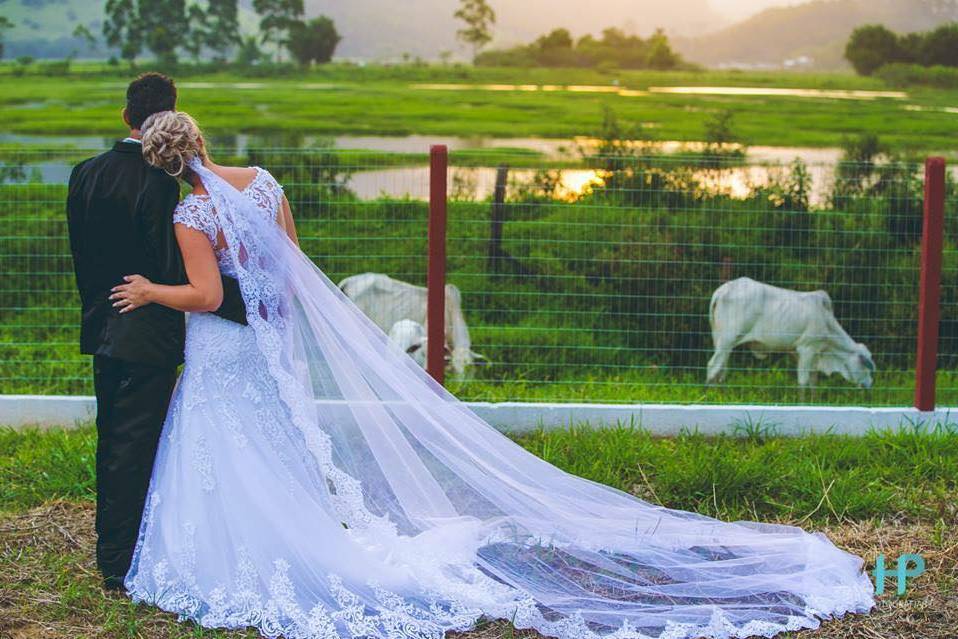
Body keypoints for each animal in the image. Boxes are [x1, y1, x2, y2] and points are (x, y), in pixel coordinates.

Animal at [704, 278, 876, 388]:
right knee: (713, 367)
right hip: (727, 340)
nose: (869, 384)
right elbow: (803, 382)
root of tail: (722, 291)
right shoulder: (807, 348)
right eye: (865, 365)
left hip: (721, 341)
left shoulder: (800, 353)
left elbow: (813, 381)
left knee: (722, 371)